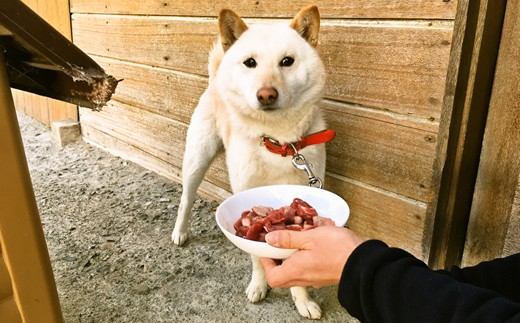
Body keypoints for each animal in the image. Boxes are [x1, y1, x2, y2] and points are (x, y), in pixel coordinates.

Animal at [173, 4, 332, 318]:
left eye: (287, 61)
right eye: (250, 62)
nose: (266, 94)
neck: (280, 142)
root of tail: (215, 80)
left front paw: (302, 299)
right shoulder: (245, 190)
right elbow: (257, 257)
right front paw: (260, 285)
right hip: (196, 159)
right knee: (186, 198)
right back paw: (180, 232)